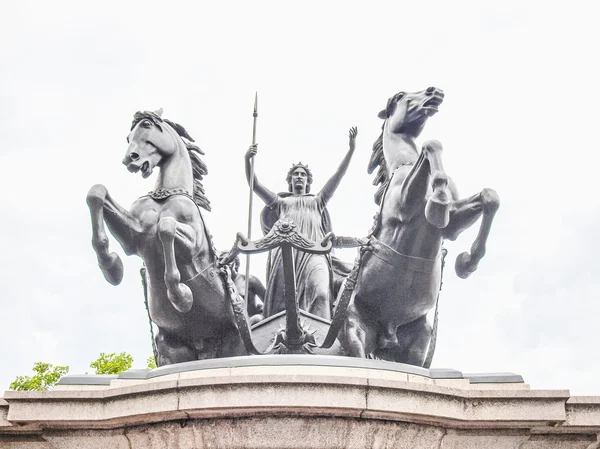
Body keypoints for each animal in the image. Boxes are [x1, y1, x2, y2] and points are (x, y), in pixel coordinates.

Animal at [85, 110, 245, 366]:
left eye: (147, 125)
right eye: (128, 136)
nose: (130, 159)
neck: (165, 195)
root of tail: (205, 346)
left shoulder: (193, 247)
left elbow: (166, 228)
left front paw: (180, 297)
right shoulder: (134, 237)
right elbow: (97, 192)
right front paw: (112, 267)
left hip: (236, 345)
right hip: (171, 350)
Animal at [340, 86, 500, 364]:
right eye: (401, 95)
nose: (433, 91)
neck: (404, 163)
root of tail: (387, 334)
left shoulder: (452, 226)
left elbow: (489, 197)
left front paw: (467, 262)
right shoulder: (404, 206)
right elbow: (431, 144)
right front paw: (437, 199)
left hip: (419, 341)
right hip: (354, 329)